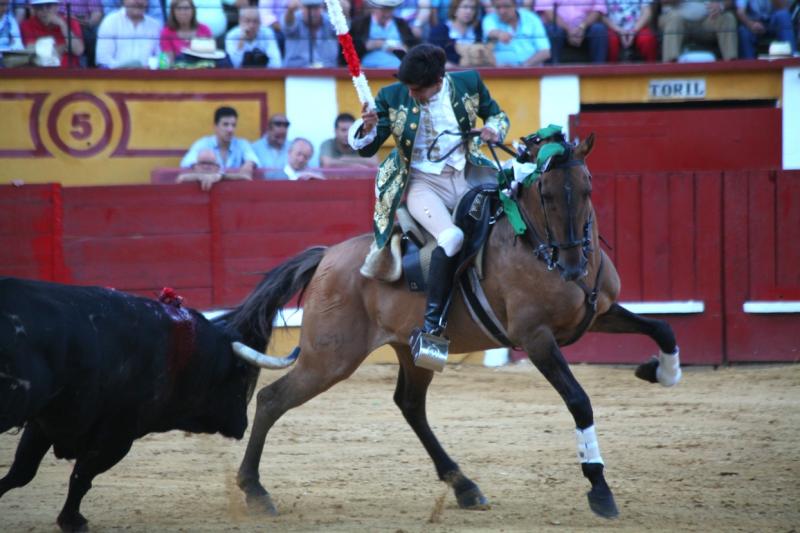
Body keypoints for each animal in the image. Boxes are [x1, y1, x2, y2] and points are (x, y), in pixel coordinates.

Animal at [0, 276, 296, 528]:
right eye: (241, 372)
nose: (241, 425)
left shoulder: (47, 420)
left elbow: (23, 471)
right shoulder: (116, 434)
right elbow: (79, 475)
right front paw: (73, 521)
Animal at [220, 133, 680, 520]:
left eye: (588, 189)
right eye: (545, 194)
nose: (571, 267)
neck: (534, 244)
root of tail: (327, 257)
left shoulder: (600, 313)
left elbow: (663, 329)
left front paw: (660, 371)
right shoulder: (536, 339)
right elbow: (579, 401)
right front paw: (600, 490)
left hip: (412, 352)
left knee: (409, 405)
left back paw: (465, 486)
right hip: (329, 359)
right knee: (271, 400)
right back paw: (255, 491)